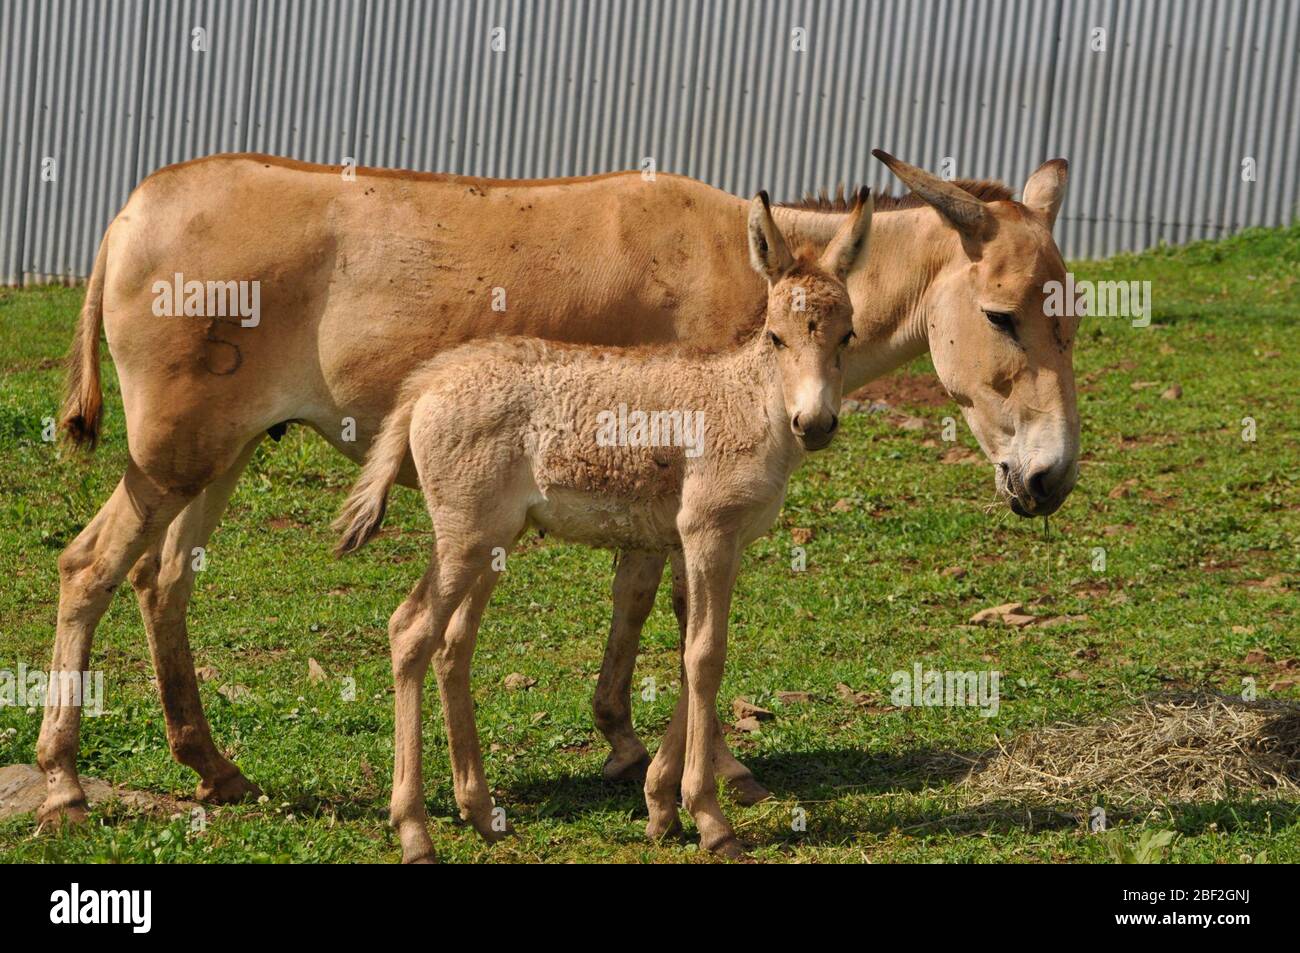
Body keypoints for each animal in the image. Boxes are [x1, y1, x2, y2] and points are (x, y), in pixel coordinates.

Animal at [332, 189, 873, 858]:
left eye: (847, 335)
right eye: (775, 337)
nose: (815, 424)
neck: (747, 403)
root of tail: (428, 382)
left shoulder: (701, 543)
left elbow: (692, 648)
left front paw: (661, 805)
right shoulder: (709, 534)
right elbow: (706, 656)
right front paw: (710, 819)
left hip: (491, 542)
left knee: (452, 646)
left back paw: (480, 812)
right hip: (465, 538)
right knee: (410, 632)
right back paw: (414, 830)